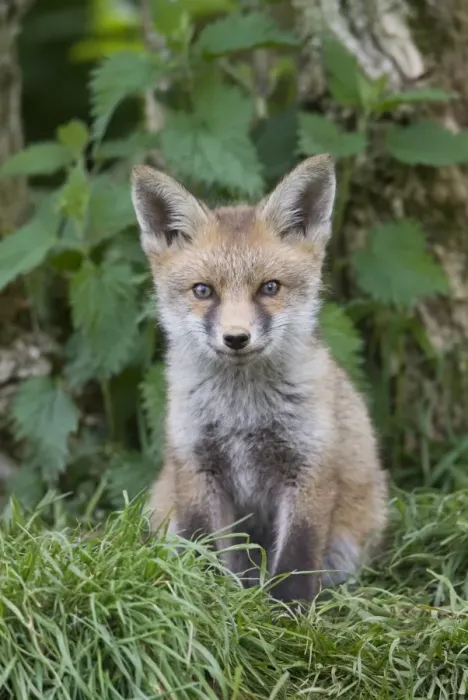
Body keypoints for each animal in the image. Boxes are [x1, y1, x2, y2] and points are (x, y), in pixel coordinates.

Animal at [131, 154, 389, 603]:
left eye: (269, 288)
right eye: (203, 291)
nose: (236, 338)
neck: (242, 413)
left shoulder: (309, 466)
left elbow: (297, 557)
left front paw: (288, 612)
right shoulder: (196, 463)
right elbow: (200, 544)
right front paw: (199, 597)